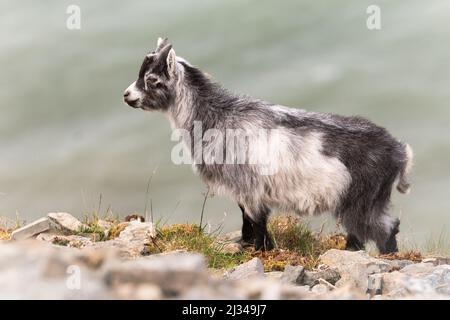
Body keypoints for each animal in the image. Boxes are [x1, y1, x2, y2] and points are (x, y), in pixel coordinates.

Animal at [125, 38, 414, 252]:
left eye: (152, 80)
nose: (127, 96)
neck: (216, 116)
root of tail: (399, 152)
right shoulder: (243, 188)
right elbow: (245, 215)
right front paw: (245, 242)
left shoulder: (250, 187)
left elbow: (257, 219)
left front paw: (261, 249)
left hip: (362, 198)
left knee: (382, 228)